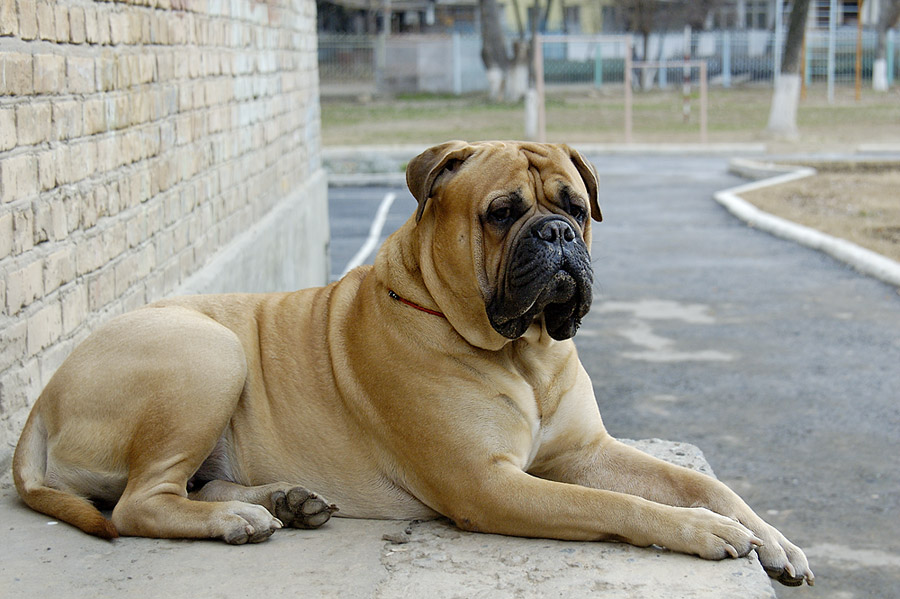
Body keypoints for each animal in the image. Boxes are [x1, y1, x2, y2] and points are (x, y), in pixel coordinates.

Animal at [15, 141, 816, 584]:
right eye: (502, 212)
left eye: (574, 205)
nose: (558, 234)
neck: (521, 353)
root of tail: (40, 406)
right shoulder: (490, 485)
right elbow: (617, 506)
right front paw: (706, 532)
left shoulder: (585, 449)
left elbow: (698, 481)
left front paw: (772, 538)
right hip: (209, 351)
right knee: (138, 503)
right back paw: (237, 520)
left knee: (189, 484)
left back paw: (281, 500)